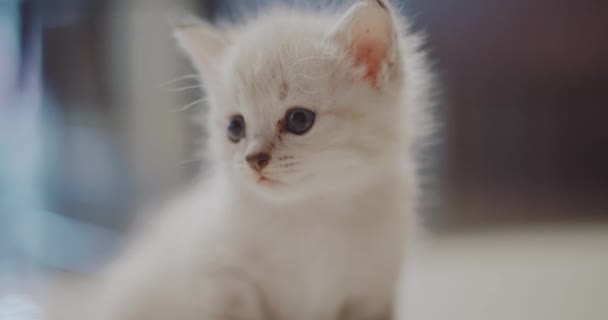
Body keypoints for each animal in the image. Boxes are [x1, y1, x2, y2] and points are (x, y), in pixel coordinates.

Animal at [50, 0, 434, 320]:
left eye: (299, 120)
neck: (310, 214)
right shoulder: (224, 280)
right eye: (235, 127)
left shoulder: (371, 290)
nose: (253, 159)